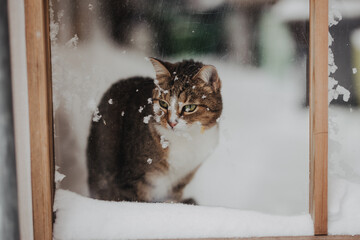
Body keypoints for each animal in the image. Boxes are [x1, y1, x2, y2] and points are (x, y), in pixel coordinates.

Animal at [87, 57, 222, 202]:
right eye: (163, 104)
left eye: (190, 107)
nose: (172, 123)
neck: (186, 139)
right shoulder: (132, 177)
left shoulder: (183, 178)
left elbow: (173, 198)